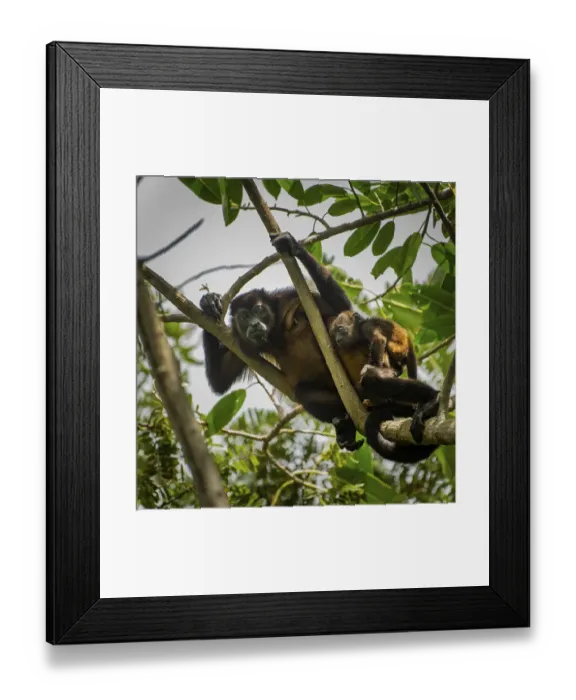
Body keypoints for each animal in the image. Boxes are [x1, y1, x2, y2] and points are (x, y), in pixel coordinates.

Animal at [200, 232, 437, 463]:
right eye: (244, 317)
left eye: (259, 310)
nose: (255, 324)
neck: (274, 333)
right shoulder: (239, 341)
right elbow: (220, 380)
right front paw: (209, 304)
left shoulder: (287, 297)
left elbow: (341, 308)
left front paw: (293, 245)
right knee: (304, 392)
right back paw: (346, 426)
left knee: (374, 377)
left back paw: (429, 401)